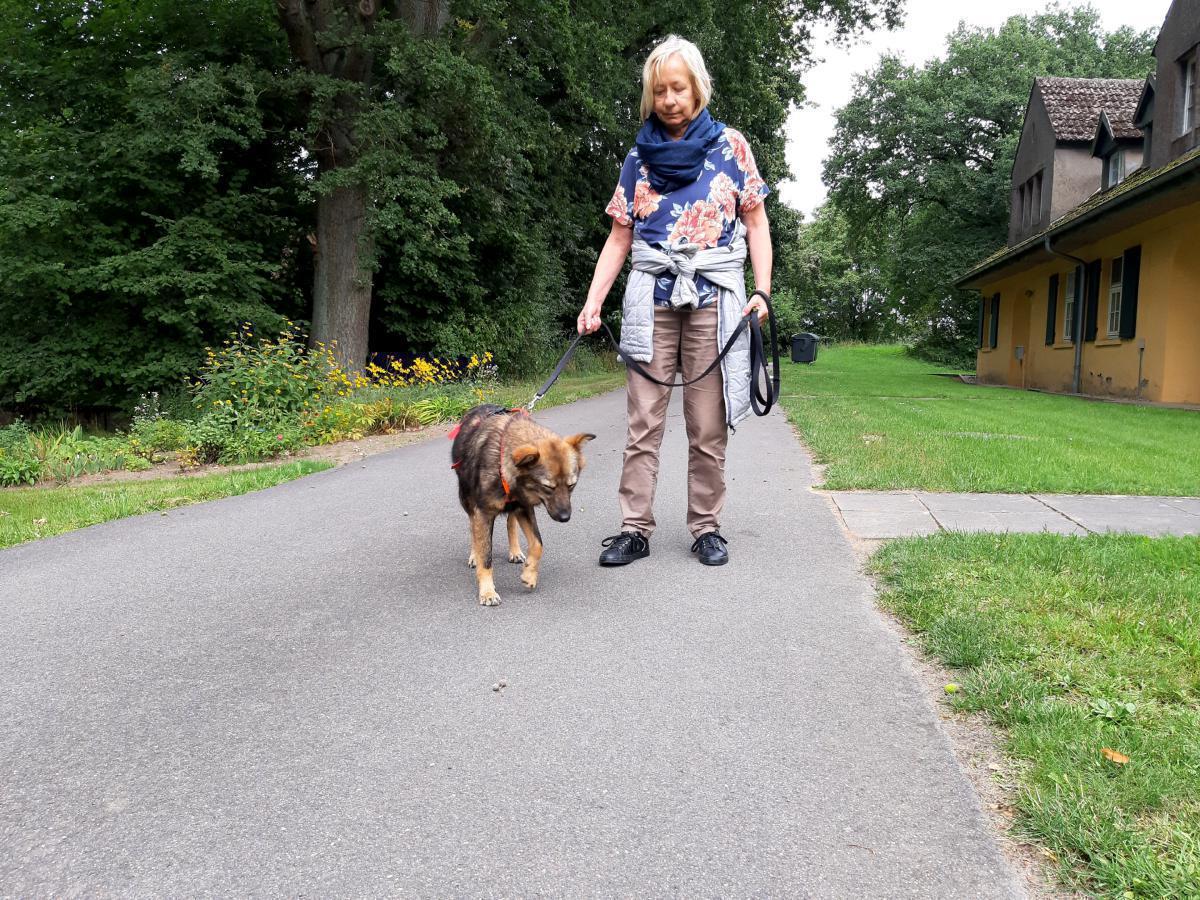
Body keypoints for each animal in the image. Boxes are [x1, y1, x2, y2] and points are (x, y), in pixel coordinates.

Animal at [450, 404, 595, 606]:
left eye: (571, 485)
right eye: (548, 487)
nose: (565, 518)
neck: (502, 466)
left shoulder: (524, 507)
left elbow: (538, 544)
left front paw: (530, 575)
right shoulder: (483, 513)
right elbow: (485, 556)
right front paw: (487, 591)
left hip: (514, 509)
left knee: (510, 523)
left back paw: (515, 551)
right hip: (468, 501)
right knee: (473, 528)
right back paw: (474, 555)